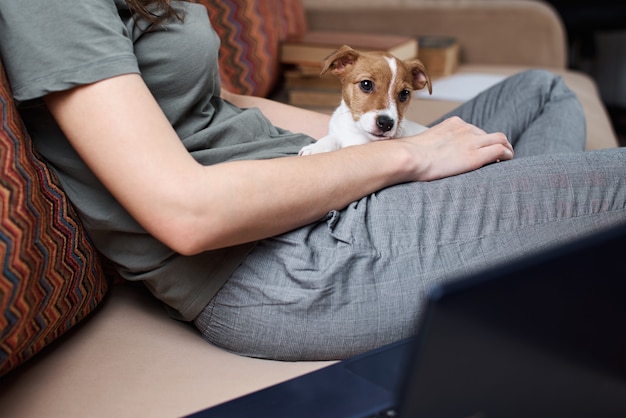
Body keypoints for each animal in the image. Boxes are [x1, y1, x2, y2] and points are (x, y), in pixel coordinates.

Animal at [298, 44, 428, 156]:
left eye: (404, 94)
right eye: (366, 84)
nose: (386, 123)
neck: (359, 135)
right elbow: (332, 138)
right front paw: (316, 147)